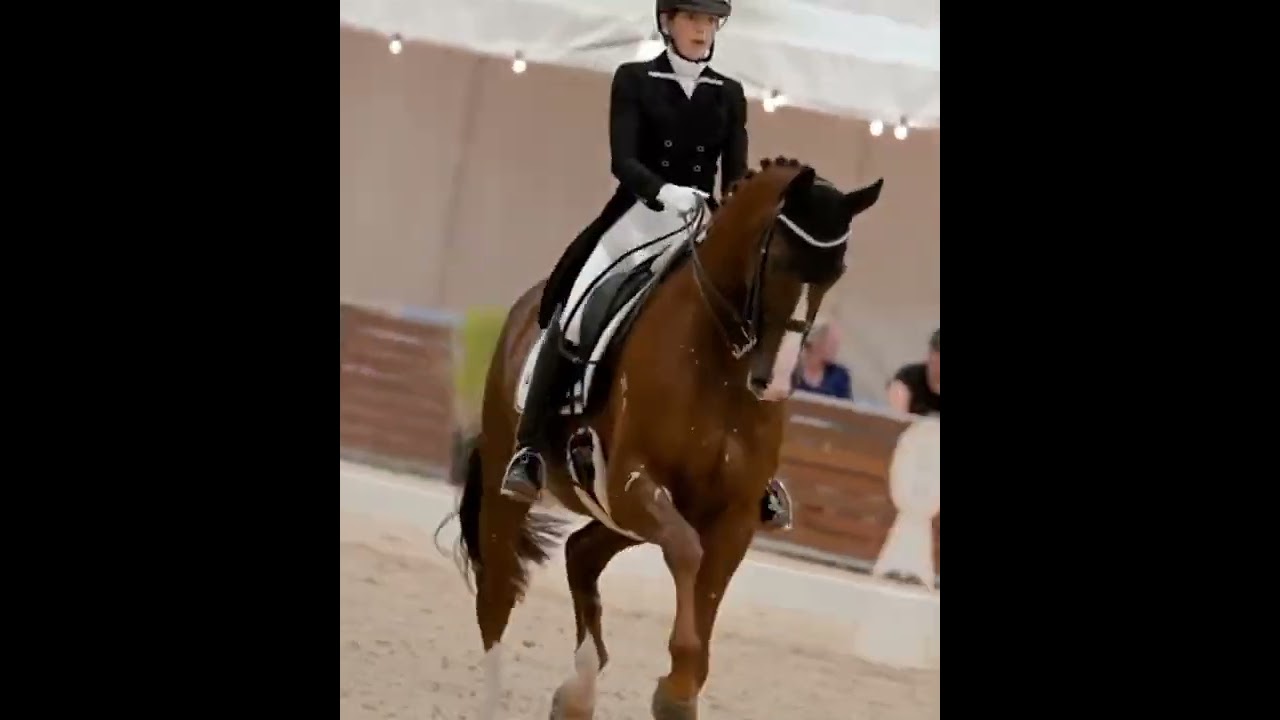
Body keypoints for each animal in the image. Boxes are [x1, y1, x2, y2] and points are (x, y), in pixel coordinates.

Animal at [442, 156, 884, 719]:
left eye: (837, 272)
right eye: (782, 259)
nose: (777, 382)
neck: (719, 363)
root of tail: (522, 312)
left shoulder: (732, 513)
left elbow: (709, 585)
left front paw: (682, 688)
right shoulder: (635, 481)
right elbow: (687, 554)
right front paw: (674, 690)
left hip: (622, 515)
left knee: (581, 552)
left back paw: (578, 690)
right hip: (512, 483)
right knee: (496, 596)